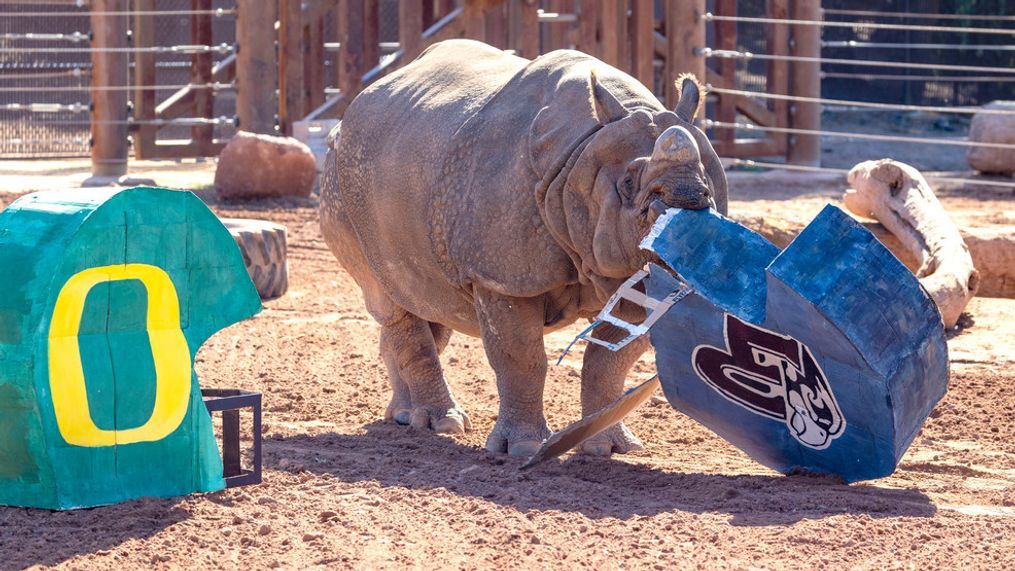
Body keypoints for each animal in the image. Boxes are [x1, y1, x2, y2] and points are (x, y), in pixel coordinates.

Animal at [320, 39, 726, 456]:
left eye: (707, 189)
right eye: (628, 185)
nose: (687, 220)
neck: (582, 155)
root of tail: (352, 109)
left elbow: (609, 361)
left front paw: (612, 447)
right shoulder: (499, 274)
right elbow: (522, 358)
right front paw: (525, 449)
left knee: (427, 301)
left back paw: (403, 417)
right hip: (339, 181)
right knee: (390, 299)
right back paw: (441, 424)